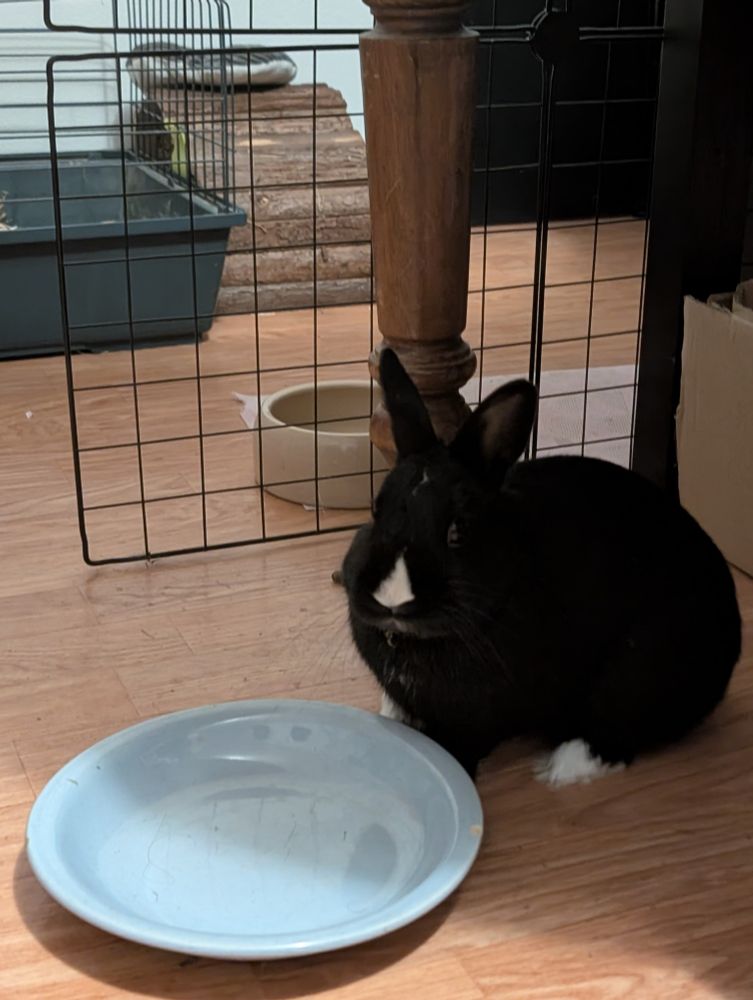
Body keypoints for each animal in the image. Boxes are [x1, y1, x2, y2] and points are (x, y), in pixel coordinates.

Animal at [341, 348, 741, 784]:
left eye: (458, 530)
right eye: (377, 510)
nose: (392, 599)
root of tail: (731, 647)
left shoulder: (478, 721)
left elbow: (458, 748)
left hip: (639, 676)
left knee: (620, 733)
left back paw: (565, 765)